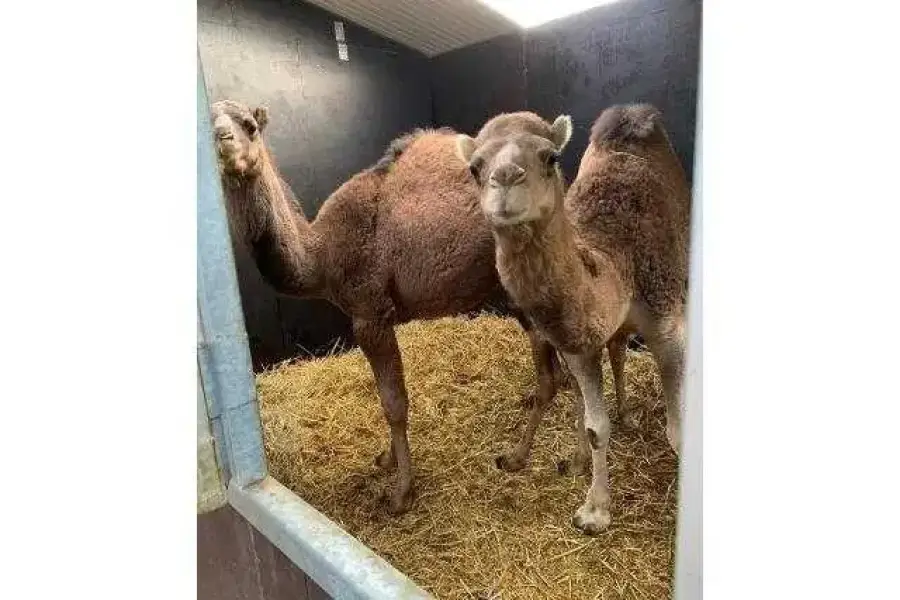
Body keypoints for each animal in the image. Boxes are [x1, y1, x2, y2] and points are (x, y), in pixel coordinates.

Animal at [208, 99, 631, 514]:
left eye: (249, 125)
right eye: (206, 121)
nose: (221, 139)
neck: (321, 255)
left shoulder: (370, 315)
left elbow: (393, 403)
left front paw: (400, 492)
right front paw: (386, 459)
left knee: (566, 372)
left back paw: (568, 462)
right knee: (555, 374)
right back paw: (526, 455)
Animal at [456, 103, 690, 535]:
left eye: (550, 157)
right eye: (474, 168)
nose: (505, 178)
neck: (616, 256)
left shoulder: (668, 327)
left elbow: (678, 431)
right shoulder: (578, 345)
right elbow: (597, 427)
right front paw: (594, 511)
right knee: (616, 350)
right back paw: (604, 436)